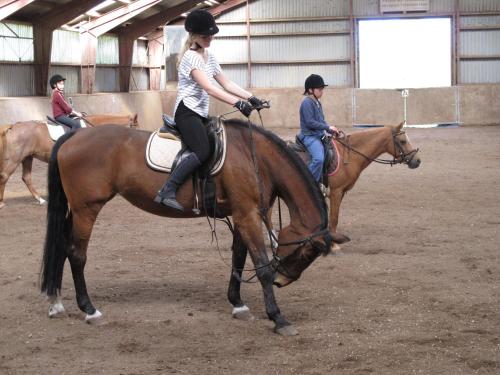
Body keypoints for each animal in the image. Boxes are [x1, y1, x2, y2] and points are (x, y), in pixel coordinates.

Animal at [0, 113, 138, 210]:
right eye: (136, 127)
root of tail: (13, 127)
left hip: (27, 158)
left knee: (26, 177)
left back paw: (40, 200)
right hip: (15, 158)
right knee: (4, 176)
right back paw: (1, 203)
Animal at [40, 122, 348, 336]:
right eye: (305, 253)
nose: (281, 281)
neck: (255, 157)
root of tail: (74, 136)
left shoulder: (241, 214)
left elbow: (238, 257)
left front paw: (238, 304)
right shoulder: (249, 215)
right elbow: (260, 264)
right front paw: (278, 317)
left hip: (75, 211)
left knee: (61, 250)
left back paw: (56, 303)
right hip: (87, 209)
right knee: (76, 254)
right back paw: (89, 310)